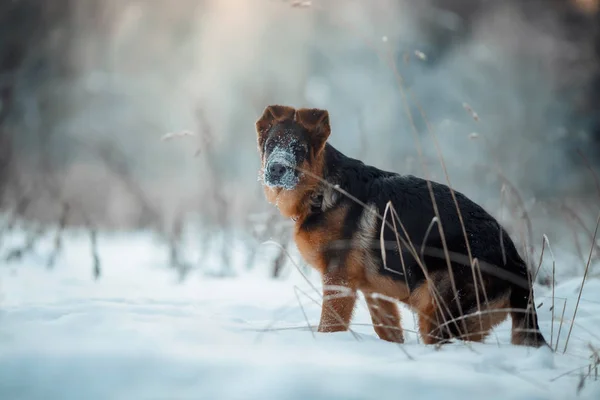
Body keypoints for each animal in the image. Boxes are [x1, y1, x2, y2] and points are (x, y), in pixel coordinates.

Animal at [253, 104, 548, 346]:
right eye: (271, 145)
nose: (276, 169)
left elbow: (329, 326)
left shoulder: (338, 281)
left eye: (298, 149)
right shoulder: (374, 293)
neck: (321, 188)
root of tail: (518, 263)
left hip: (436, 308)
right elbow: (388, 330)